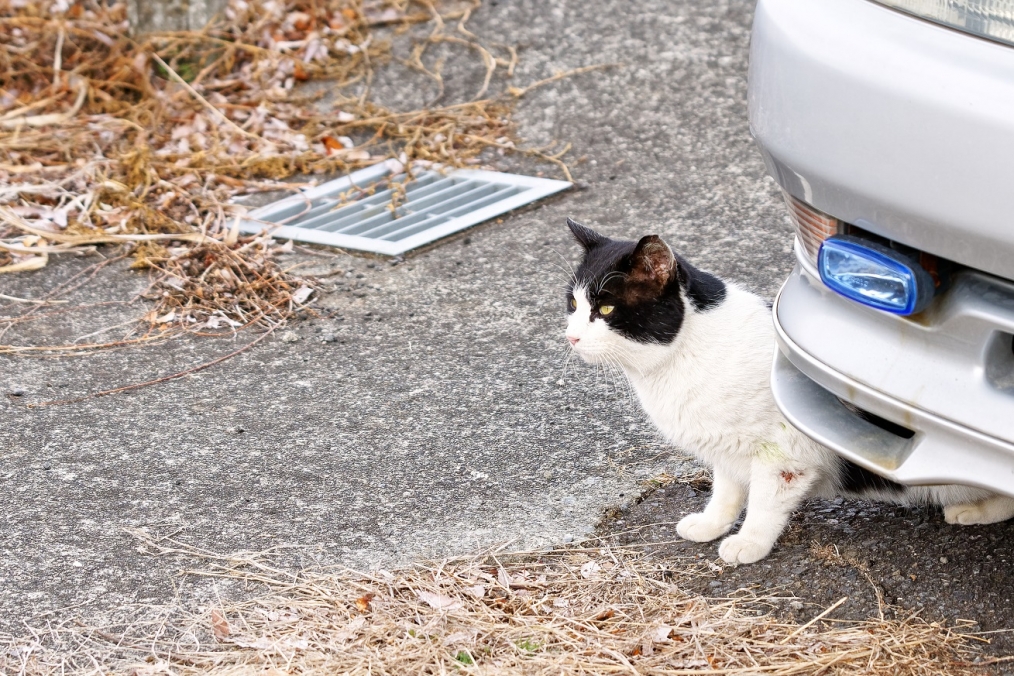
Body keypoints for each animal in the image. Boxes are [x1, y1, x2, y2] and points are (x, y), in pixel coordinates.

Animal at [563, 220, 1014, 567]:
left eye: (606, 310)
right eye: (572, 303)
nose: (570, 336)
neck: (681, 359)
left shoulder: (784, 455)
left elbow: (764, 502)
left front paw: (748, 543)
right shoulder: (727, 451)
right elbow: (726, 491)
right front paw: (711, 524)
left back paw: (973, 508)